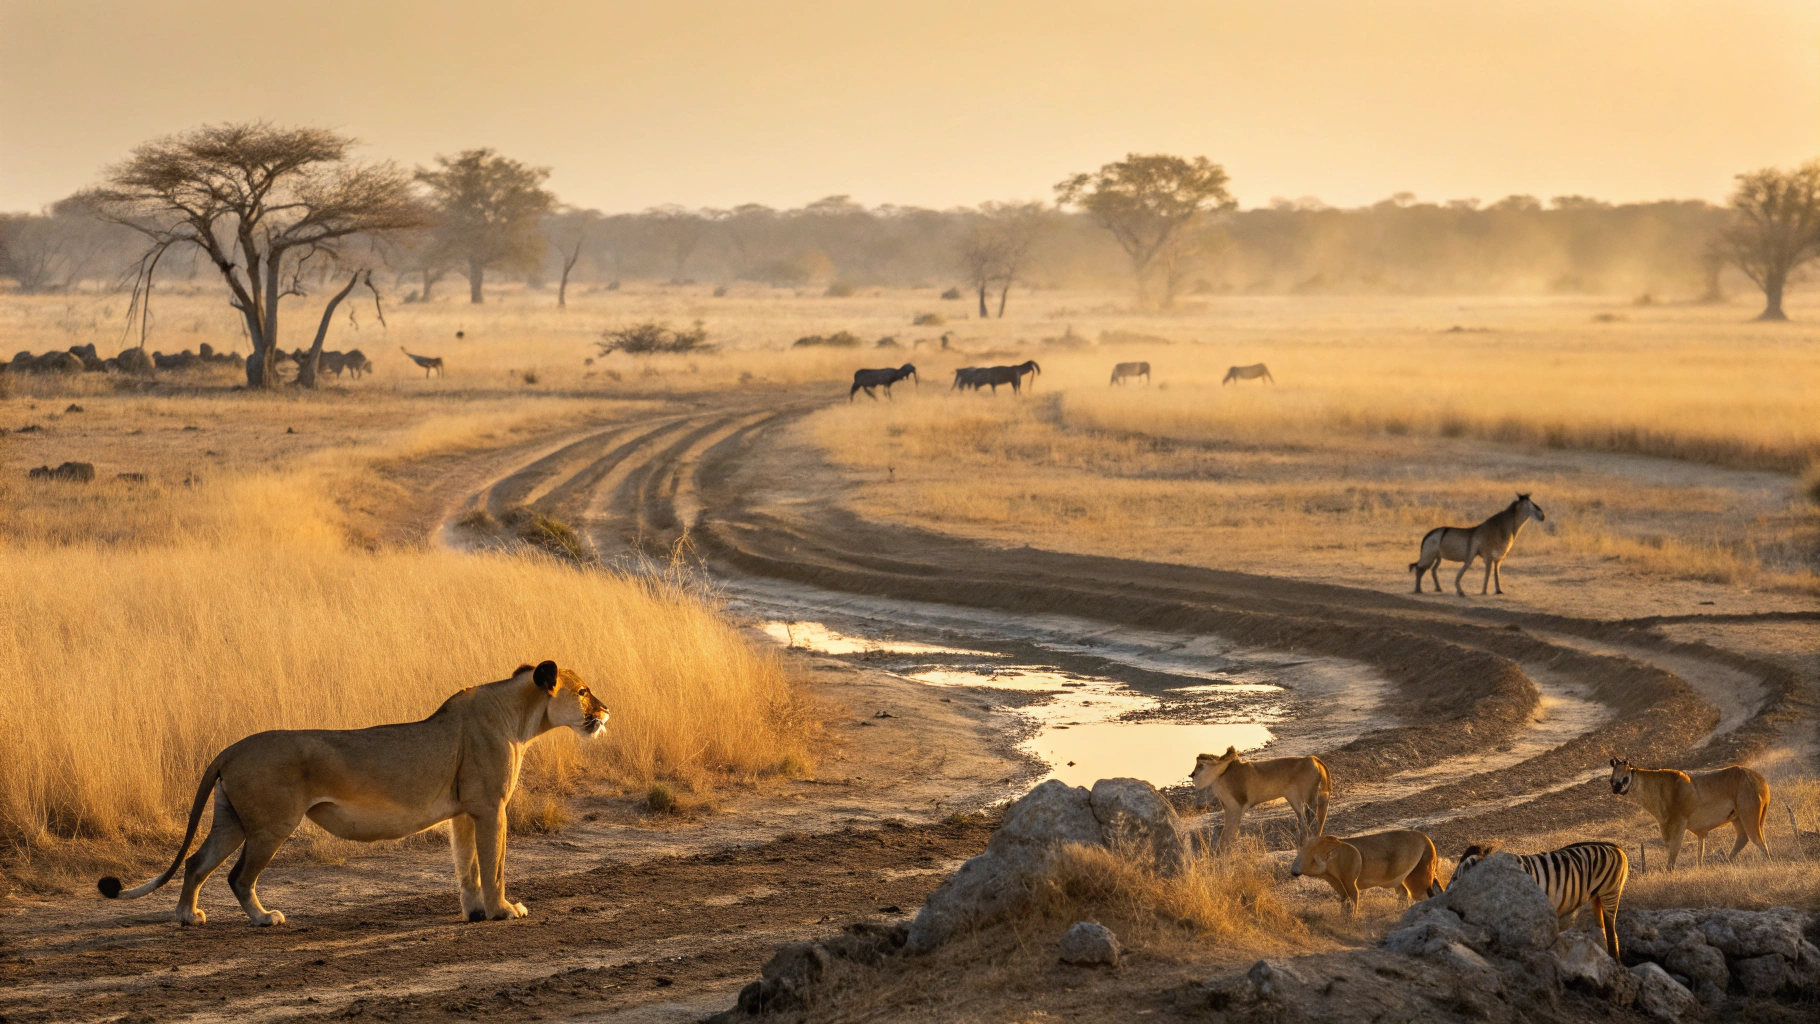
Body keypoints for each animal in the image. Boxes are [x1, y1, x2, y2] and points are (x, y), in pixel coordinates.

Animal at [98, 661, 607, 927]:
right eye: (583, 691)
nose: (607, 709)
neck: (519, 717)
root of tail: (232, 747)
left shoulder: (465, 812)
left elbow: (467, 867)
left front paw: (477, 912)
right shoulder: (490, 807)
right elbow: (494, 865)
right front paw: (504, 910)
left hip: (232, 820)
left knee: (195, 863)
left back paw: (187, 916)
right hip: (272, 825)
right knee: (238, 876)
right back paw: (264, 918)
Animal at [1190, 747, 1330, 849]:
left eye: (1200, 766)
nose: (1191, 774)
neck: (1219, 775)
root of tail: (1313, 758)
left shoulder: (1235, 806)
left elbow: (1229, 830)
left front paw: (1225, 849)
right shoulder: (1231, 808)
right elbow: (1231, 829)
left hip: (1308, 797)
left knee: (1313, 819)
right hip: (1295, 799)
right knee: (1305, 820)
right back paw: (1304, 842)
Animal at [1290, 829, 1441, 913]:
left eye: (1310, 853)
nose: (1293, 870)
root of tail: (1427, 839)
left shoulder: (1351, 884)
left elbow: (1352, 906)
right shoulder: (1339, 886)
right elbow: (1345, 906)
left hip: (1419, 885)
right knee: (1404, 894)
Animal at [1450, 841, 1628, 958]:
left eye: (1457, 880)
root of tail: (1614, 846)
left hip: (1609, 892)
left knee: (1612, 933)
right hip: (1597, 897)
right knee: (1602, 929)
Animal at [1609, 757, 1770, 870]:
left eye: (1625, 778)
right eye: (1611, 779)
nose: (1616, 788)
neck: (1659, 788)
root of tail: (1760, 780)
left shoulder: (1679, 824)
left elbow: (1672, 858)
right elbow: (1699, 853)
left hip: (1749, 816)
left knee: (1760, 844)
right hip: (1737, 819)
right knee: (1743, 839)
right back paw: (1727, 862)